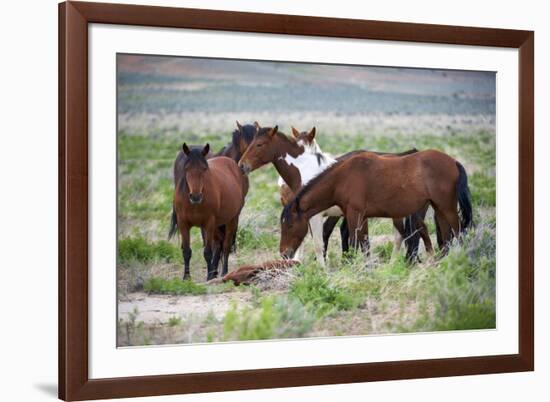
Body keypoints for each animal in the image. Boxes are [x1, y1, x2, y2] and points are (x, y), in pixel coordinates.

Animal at [169, 144, 249, 280]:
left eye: (205, 168)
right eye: (186, 168)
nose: (195, 196)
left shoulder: (208, 223)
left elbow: (207, 252)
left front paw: (209, 276)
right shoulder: (183, 223)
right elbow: (186, 251)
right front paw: (186, 277)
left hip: (231, 219)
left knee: (225, 245)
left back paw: (223, 272)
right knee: (219, 244)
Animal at [280, 149, 474, 260]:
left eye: (289, 225)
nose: (284, 253)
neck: (343, 178)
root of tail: (453, 162)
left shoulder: (354, 215)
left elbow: (354, 243)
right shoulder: (362, 217)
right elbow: (365, 245)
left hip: (448, 208)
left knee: (459, 233)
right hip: (439, 209)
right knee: (447, 237)